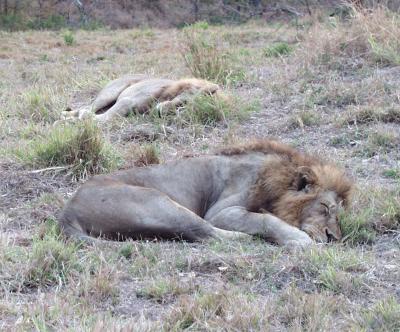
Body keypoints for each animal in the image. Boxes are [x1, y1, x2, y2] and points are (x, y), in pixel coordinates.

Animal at [59, 139, 354, 246]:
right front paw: (298, 239)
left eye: (339, 215)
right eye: (326, 208)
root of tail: (67, 213)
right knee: (204, 232)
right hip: (159, 201)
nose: (334, 238)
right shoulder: (222, 211)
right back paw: (249, 239)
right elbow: (265, 219)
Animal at [61, 74, 222, 123]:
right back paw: (64, 116)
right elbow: (107, 116)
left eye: (182, 110)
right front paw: (85, 118)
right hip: (108, 95)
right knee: (86, 107)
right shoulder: (127, 101)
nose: (161, 112)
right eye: (184, 103)